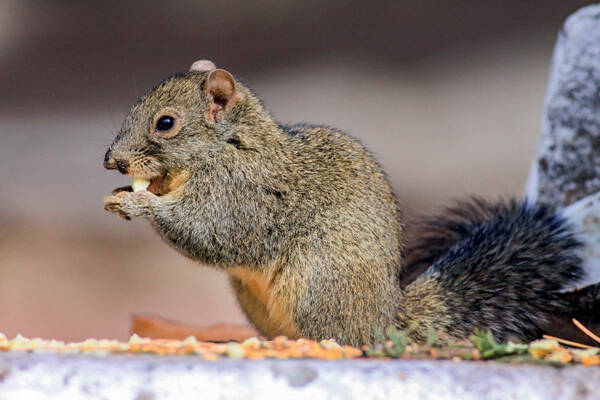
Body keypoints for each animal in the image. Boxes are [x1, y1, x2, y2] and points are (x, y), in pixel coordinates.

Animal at [104, 59, 600, 346]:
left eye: (166, 123)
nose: (113, 160)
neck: (226, 146)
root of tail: (385, 318)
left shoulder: (242, 194)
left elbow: (209, 233)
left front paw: (139, 206)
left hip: (319, 282)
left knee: (343, 338)